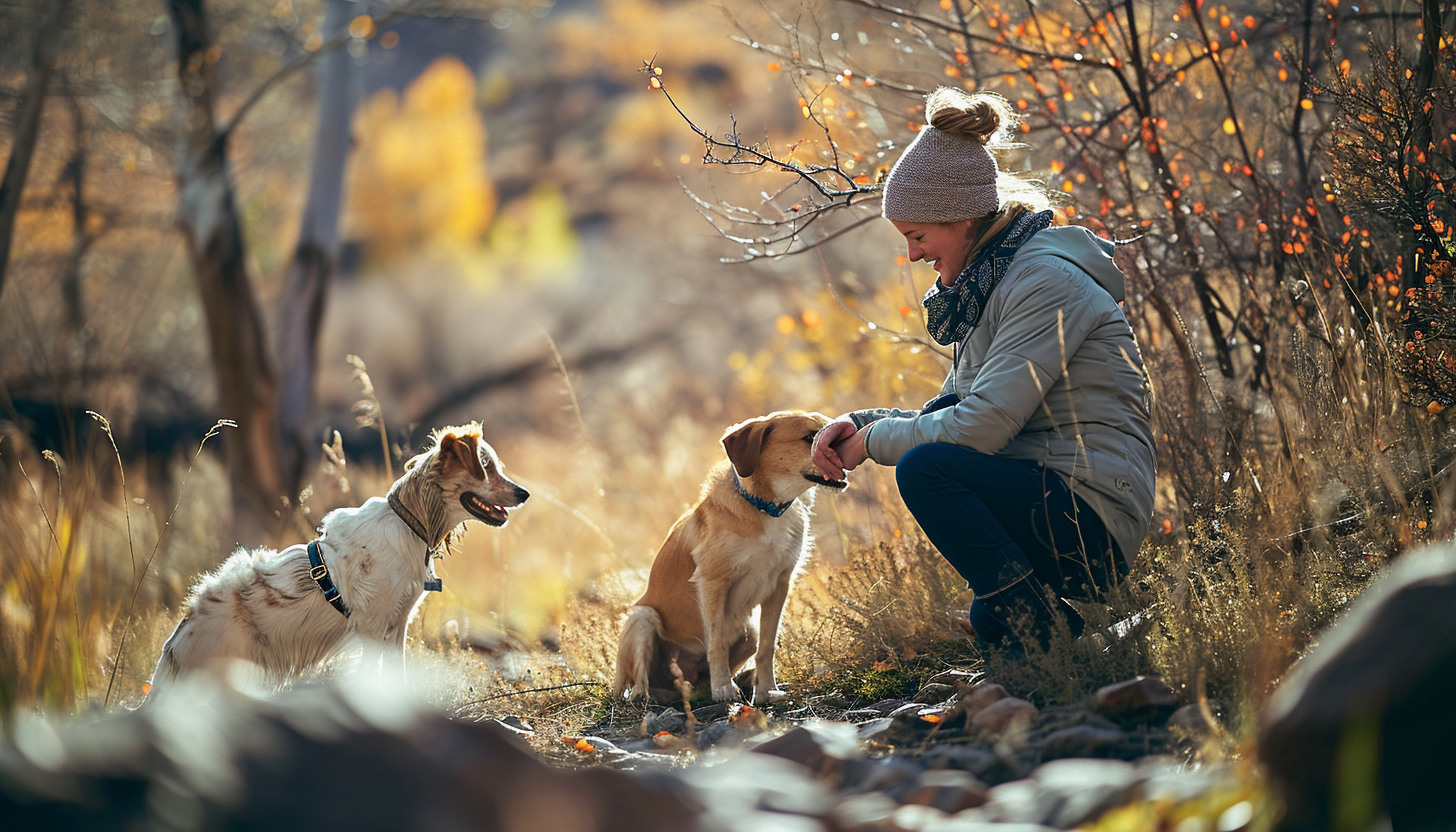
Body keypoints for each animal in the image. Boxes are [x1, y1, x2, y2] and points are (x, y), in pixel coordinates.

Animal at [141, 422, 527, 696]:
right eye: (486, 467)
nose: (524, 493)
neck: (408, 524)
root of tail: (173, 648)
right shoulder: (372, 628)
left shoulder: (397, 625)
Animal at [611, 410, 844, 702]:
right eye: (810, 436)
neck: (764, 508)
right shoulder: (713, 582)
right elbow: (717, 643)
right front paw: (723, 688)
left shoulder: (780, 583)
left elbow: (767, 647)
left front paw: (767, 690)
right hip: (642, 618)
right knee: (638, 686)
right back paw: (647, 696)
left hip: (748, 630)